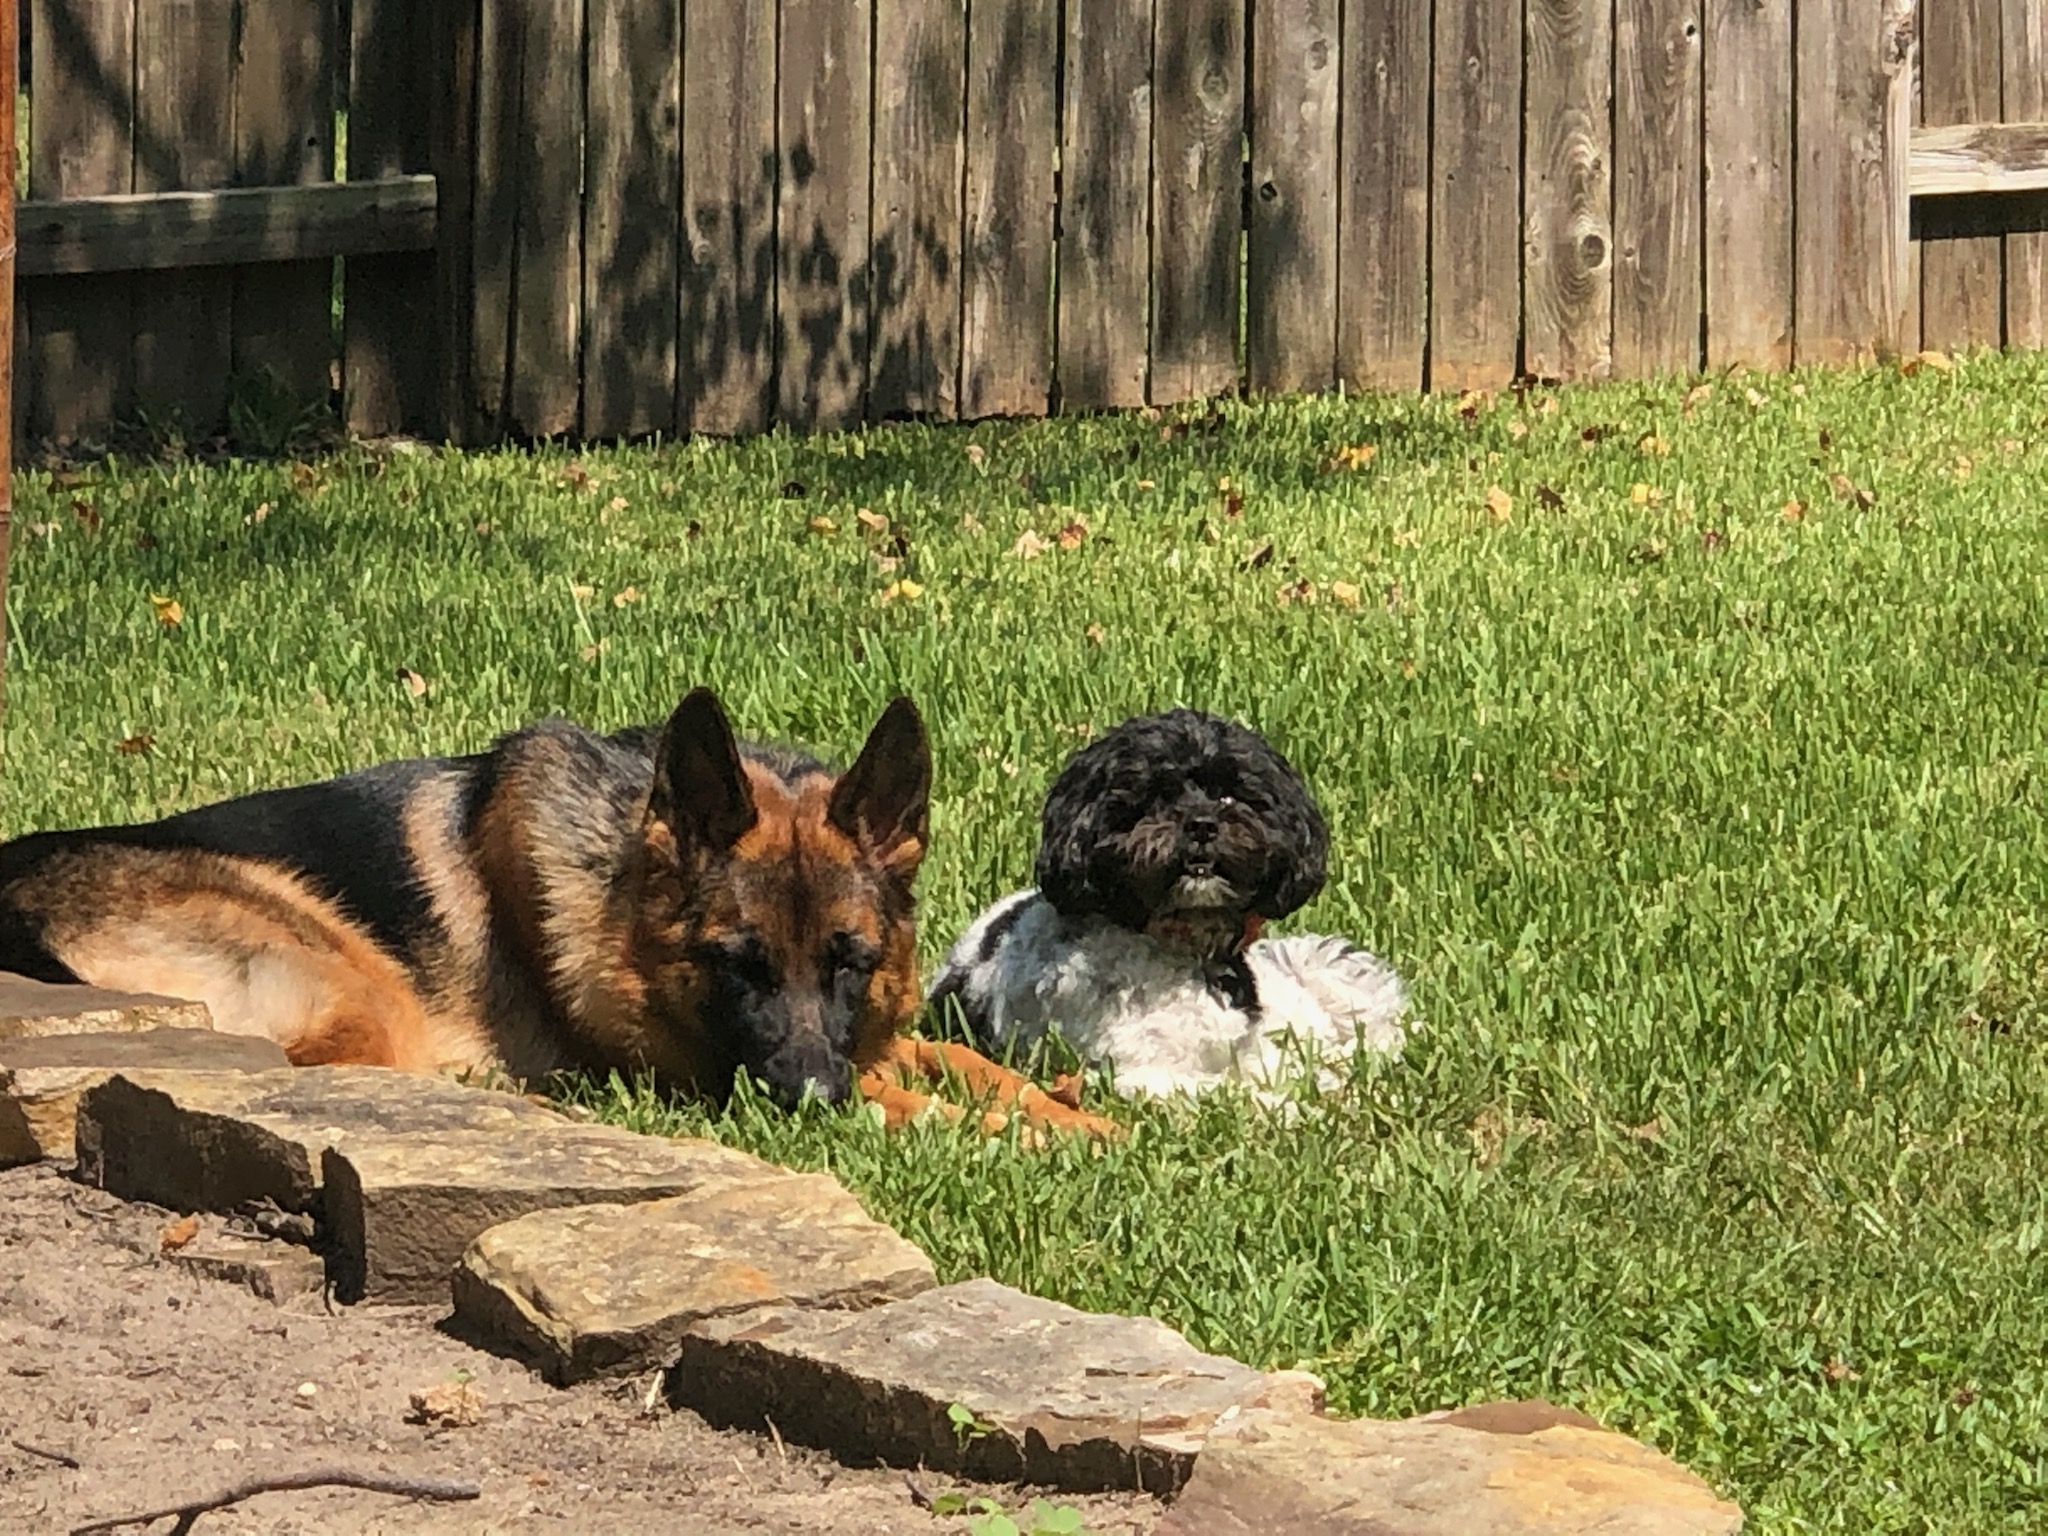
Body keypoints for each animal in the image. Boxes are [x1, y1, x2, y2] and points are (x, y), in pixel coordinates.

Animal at [0, 692, 1114, 1138]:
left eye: (851, 959)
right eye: (736, 964)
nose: (808, 1102)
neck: (620, 894)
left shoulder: (865, 1037)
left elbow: (960, 1060)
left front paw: (1082, 1112)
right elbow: (915, 1100)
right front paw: (1025, 1136)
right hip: (344, 967)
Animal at [929, 712, 1409, 1105]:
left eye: (1230, 797)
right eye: (1153, 798)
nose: (1201, 824)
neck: (1182, 948)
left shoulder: (1257, 1051)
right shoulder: (1138, 1074)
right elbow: (1236, 1095)